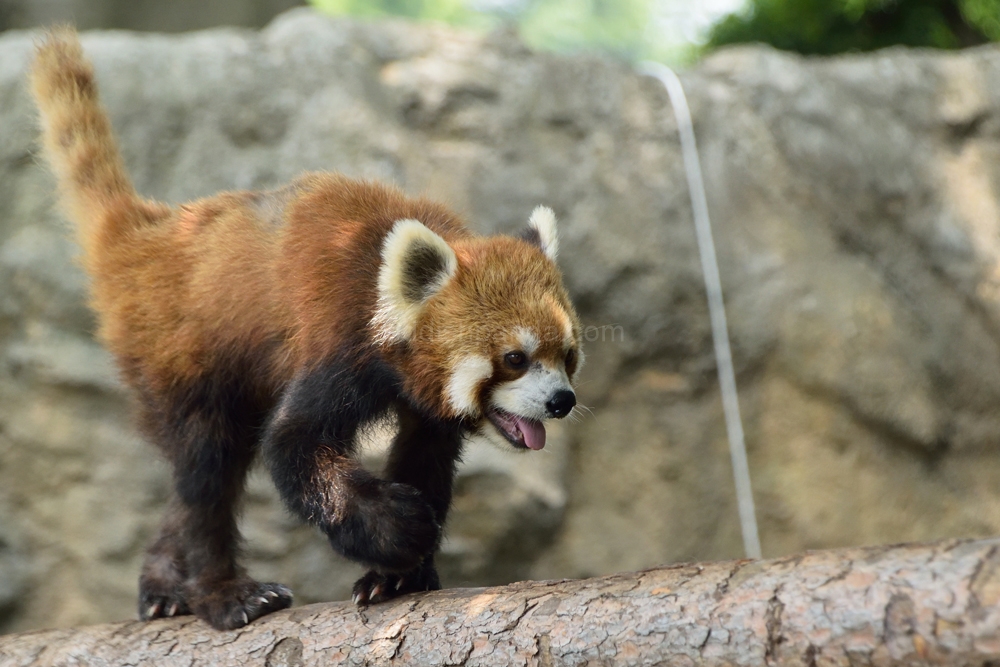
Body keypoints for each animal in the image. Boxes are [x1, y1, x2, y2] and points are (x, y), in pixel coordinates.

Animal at [31, 27, 584, 632]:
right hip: (179, 356)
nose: (561, 401)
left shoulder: (422, 397)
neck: (383, 290)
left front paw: (401, 575)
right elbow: (293, 445)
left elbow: (425, 456)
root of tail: (146, 238)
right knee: (208, 472)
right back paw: (222, 592)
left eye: (568, 356)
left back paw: (161, 586)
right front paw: (398, 530)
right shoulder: (338, 340)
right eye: (515, 358)